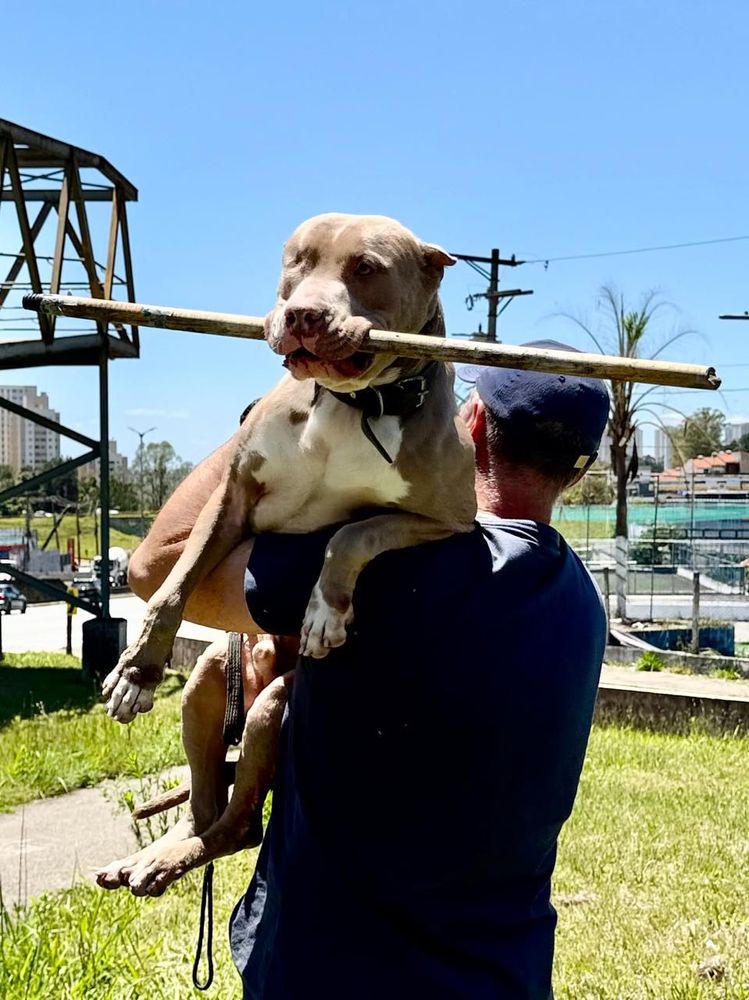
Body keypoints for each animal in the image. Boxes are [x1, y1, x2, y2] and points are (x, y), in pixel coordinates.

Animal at [95, 213, 477, 896]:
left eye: (367, 268)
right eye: (296, 262)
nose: (301, 315)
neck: (352, 404)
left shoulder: (451, 519)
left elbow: (352, 533)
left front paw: (324, 611)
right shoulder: (234, 494)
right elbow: (175, 582)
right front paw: (137, 669)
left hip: (273, 705)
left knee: (241, 824)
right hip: (211, 676)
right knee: (203, 802)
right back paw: (154, 856)